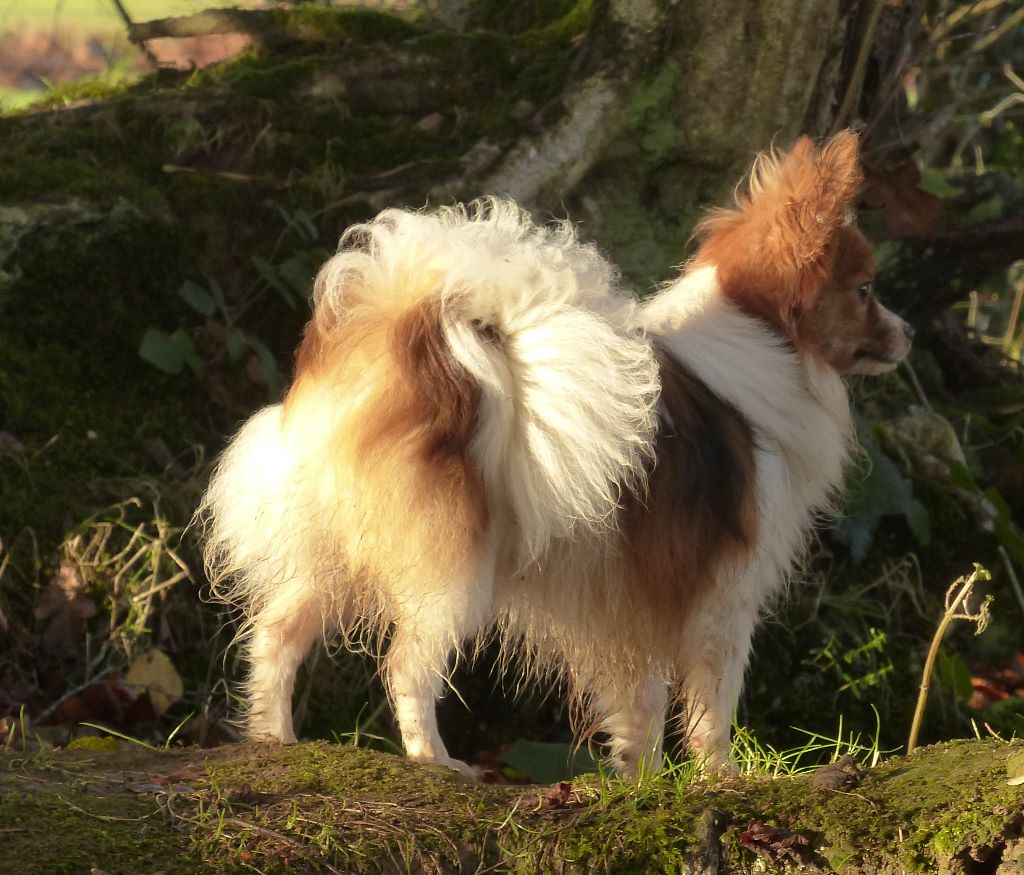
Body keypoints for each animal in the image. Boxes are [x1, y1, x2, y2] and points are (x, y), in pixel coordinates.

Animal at [200, 130, 913, 777]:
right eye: (866, 290)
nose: (908, 333)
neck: (766, 340)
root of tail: (401, 338)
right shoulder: (721, 600)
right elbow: (711, 711)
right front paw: (718, 783)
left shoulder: (631, 608)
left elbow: (640, 707)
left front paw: (642, 783)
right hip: (453, 569)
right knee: (405, 666)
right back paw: (437, 761)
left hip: (336, 550)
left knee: (275, 634)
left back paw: (274, 739)